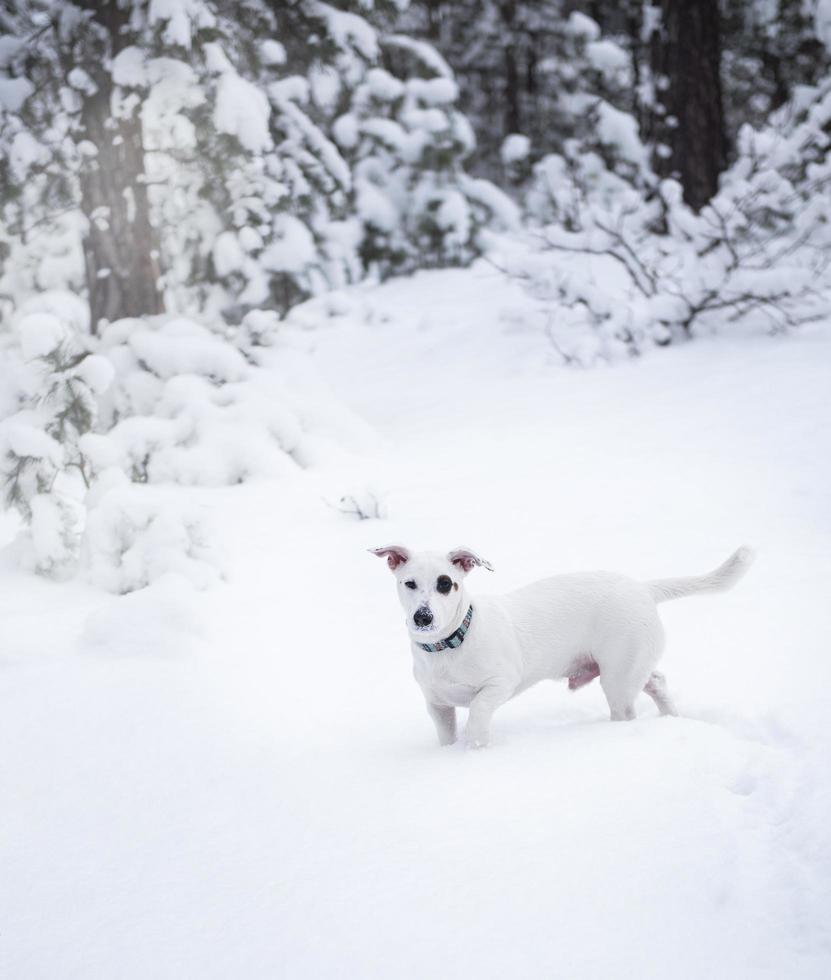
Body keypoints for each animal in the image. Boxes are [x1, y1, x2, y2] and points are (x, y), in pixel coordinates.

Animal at [370, 548, 752, 748]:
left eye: (446, 584)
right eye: (409, 583)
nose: (422, 617)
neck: (450, 645)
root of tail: (643, 588)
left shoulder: (499, 684)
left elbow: (478, 711)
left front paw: (474, 747)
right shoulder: (437, 705)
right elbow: (446, 733)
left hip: (618, 676)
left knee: (626, 709)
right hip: (634, 665)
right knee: (657, 680)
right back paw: (672, 717)